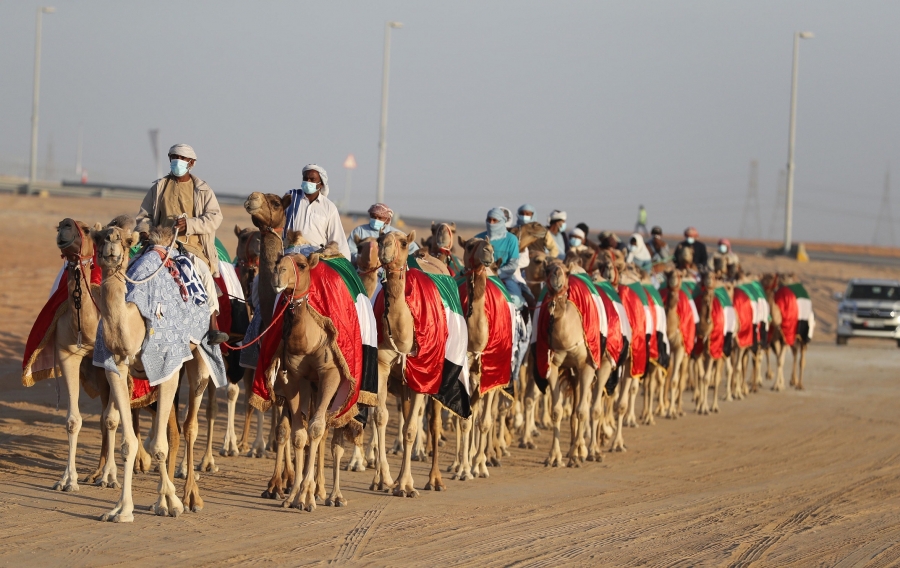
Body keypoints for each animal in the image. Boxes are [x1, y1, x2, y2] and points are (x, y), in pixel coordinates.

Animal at [90, 224, 218, 520]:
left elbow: (160, 445)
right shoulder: (117, 370)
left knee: (189, 425)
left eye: (126, 240)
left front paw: (170, 503)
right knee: (172, 428)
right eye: (98, 237)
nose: (111, 243)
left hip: (197, 355)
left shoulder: (167, 366)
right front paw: (122, 509)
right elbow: (128, 442)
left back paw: (190, 496)